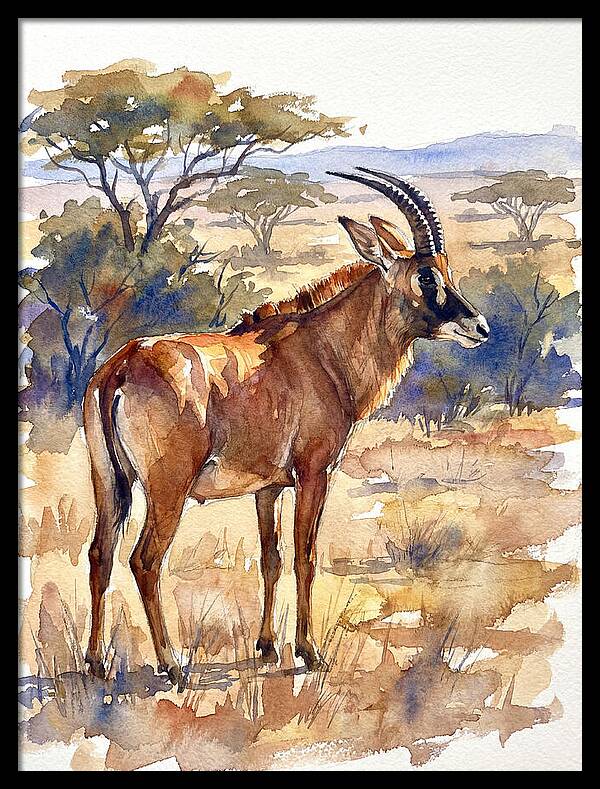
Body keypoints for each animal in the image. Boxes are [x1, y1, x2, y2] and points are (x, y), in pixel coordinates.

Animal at [83, 168, 489, 685]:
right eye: (425, 275)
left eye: (446, 271)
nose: (479, 327)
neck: (321, 349)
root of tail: (120, 367)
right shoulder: (314, 473)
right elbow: (305, 557)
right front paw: (310, 652)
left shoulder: (268, 488)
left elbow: (271, 560)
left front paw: (266, 646)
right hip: (167, 488)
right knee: (145, 560)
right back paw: (172, 665)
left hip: (109, 482)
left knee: (100, 553)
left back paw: (95, 663)